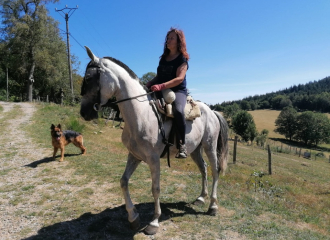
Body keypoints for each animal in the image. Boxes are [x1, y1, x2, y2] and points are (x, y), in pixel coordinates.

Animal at [80, 46, 229, 235]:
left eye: (89, 77)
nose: (84, 112)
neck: (141, 114)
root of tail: (212, 111)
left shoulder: (153, 159)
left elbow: (155, 189)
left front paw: (154, 222)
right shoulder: (134, 155)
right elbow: (123, 181)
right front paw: (133, 217)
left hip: (210, 146)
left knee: (215, 170)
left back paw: (213, 206)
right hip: (195, 149)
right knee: (203, 168)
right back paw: (201, 198)